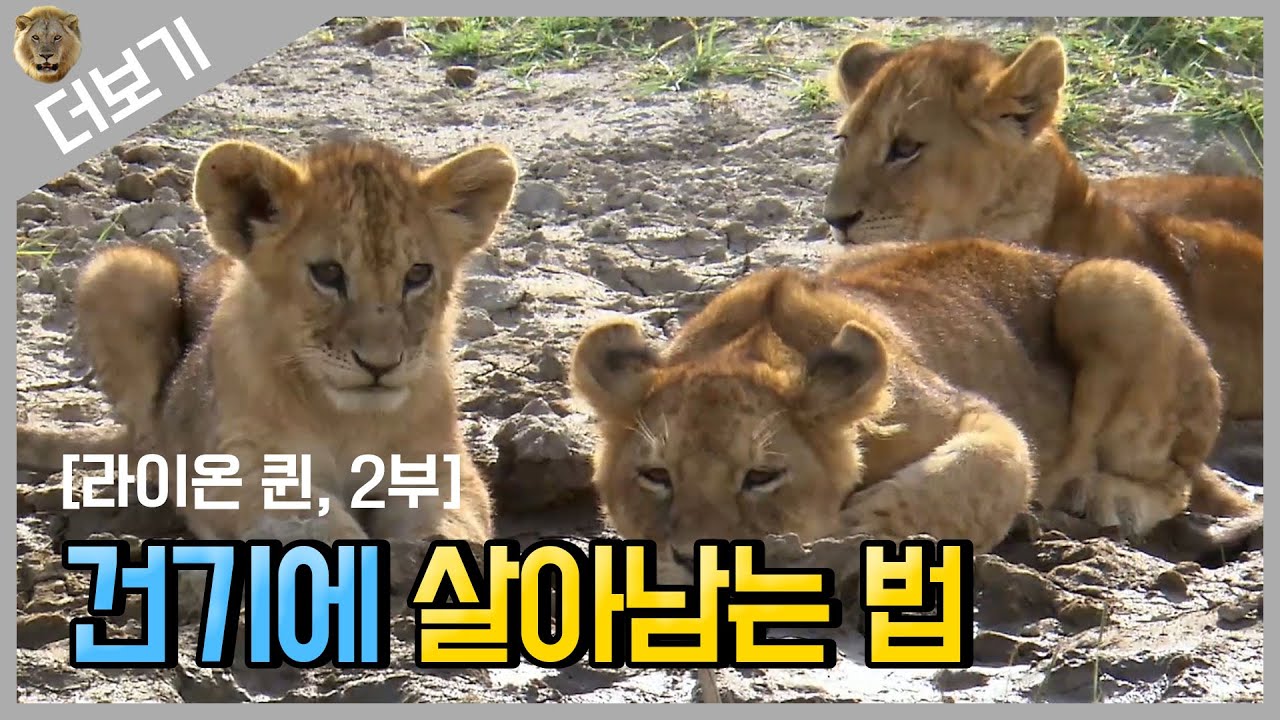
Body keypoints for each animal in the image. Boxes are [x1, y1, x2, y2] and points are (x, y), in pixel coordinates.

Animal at [17, 137, 518, 587]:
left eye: (418, 274)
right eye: (328, 273)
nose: (380, 365)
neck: (347, 417)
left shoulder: (440, 463)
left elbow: (453, 516)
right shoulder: (236, 466)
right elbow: (308, 518)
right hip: (123, 271)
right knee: (147, 444)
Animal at [571, 239, 1258, 579]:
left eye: (762, 476)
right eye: (655, 476)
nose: (695, 560)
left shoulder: (976, 414)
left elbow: (975, 472)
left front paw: (856, 531)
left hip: (1115, 286)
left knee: (1172, 479)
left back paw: (1099, 498)